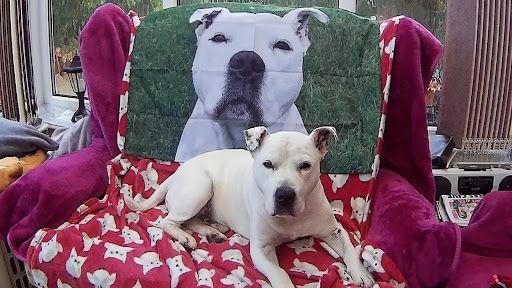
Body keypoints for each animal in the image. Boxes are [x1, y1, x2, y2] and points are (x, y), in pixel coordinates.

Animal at [126, 127, 374, 286]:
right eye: (267, 164)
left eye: (305, 165)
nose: (284, 194)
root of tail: (176, 173)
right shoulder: (261, 250)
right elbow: (280, 274)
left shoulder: (334, 230)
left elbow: (350, 249)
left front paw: (361, 273)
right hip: (201, 186)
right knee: (167, 220)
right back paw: (184, 237)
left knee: (190, 219)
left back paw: (212, 231)